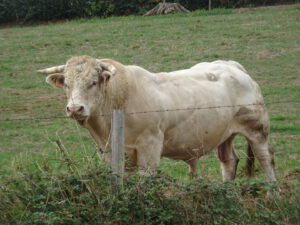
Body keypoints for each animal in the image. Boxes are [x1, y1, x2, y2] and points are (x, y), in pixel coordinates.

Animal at [39, 55, 276, 181]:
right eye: (67, 84)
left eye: (94, 82)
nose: (75, 108)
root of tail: (231, 65)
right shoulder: (109, 154)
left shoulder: (149, 149)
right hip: (224, 133)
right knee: (228, 161)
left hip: (257, 130)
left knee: (266, 160)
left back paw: (273, 193)